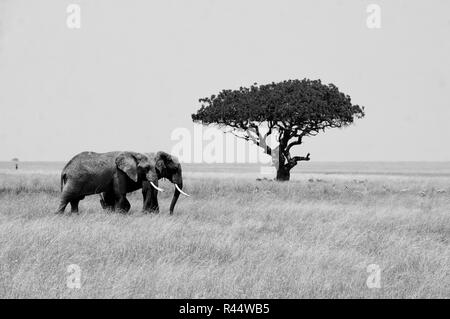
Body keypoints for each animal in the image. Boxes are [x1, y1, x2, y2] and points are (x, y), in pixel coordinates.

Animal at [55, 151, 187, 215]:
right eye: (175, 169)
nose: (170, 214)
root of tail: (64, 169)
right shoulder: (119, 173)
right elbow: (146, 191)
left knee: (75, 200)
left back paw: (75, 215)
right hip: (74, 180)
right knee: (66, 197)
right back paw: (59, 215)